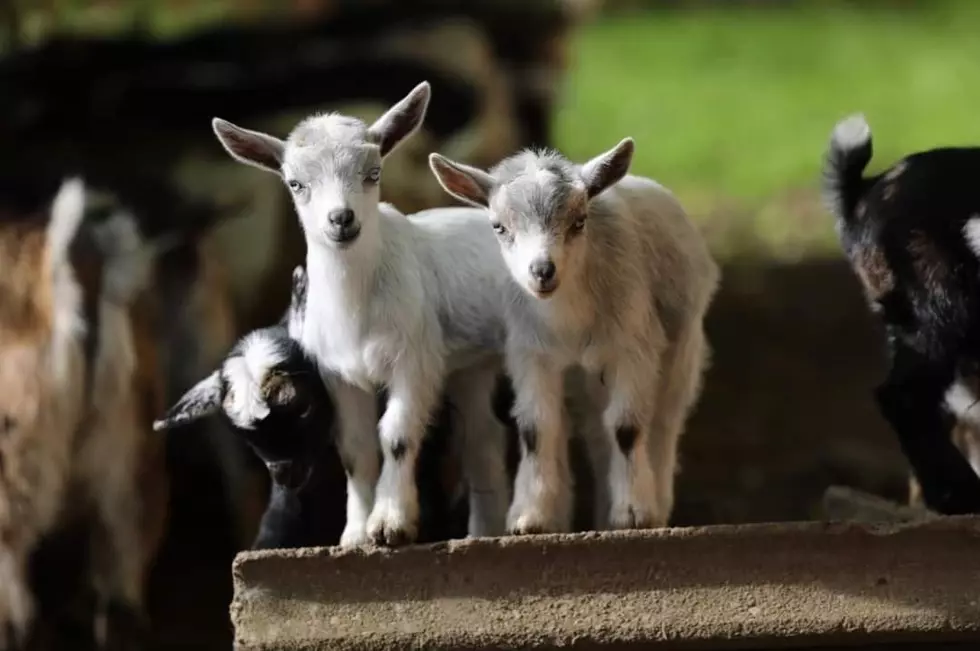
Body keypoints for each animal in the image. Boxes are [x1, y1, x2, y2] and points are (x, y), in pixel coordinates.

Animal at [429, 140, 720, 533]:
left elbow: (627, 427)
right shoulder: (532, 355)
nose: (542, 271)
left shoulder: (634, 348)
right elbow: (537, 428)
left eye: (579, 221)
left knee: (661, 423)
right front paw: (530, 517)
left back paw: (653, 505)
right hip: (582, 383)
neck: (569, 321)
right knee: (596, 435)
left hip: (680, 350)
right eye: (499, 227)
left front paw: (633, 513)